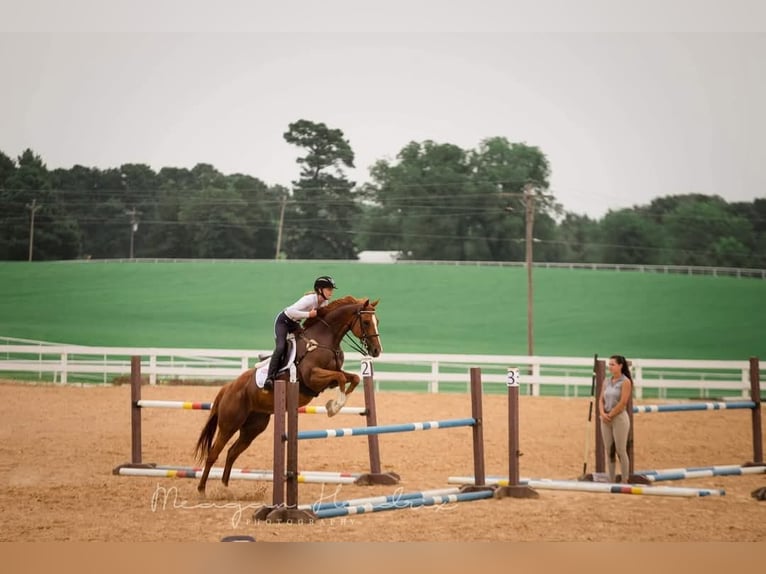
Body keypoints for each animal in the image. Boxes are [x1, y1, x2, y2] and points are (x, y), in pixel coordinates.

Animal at [194, 296, 382, 496]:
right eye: (366, 322)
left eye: (377, 321)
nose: (377, 351)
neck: (324, 340)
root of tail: (228, 388)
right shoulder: (313, 377)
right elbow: (341, 378)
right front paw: (334, 406)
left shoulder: (330, 377)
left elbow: (352, 378)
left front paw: (334, 405)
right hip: (229, 424)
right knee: (214, 453)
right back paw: (202, 490)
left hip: (253, 426)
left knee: (232, 452)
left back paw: (225, 488)